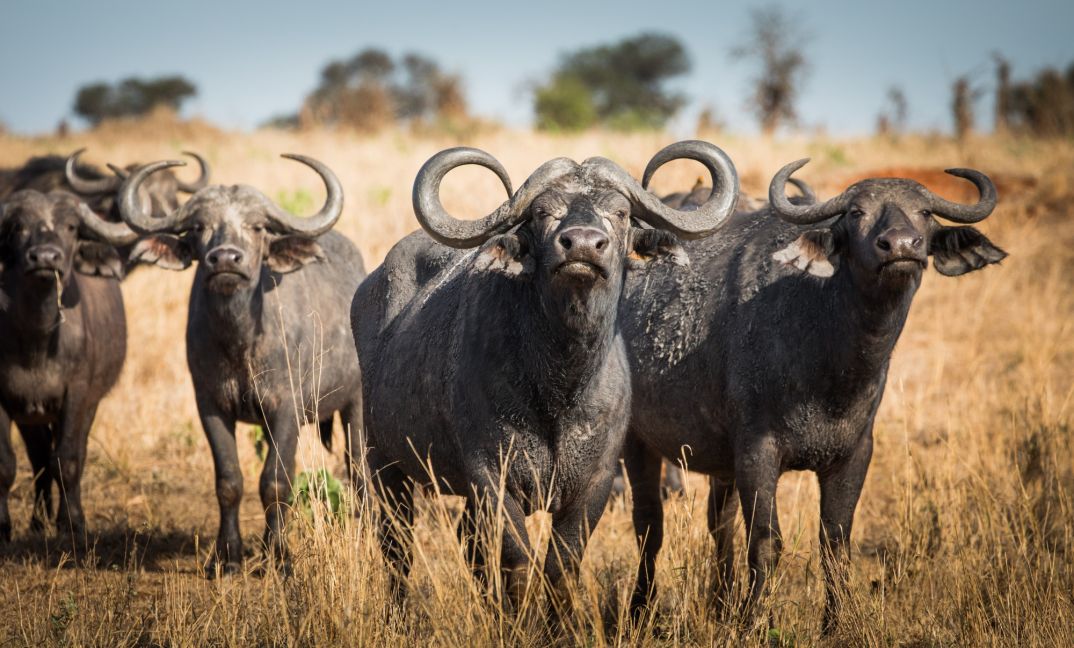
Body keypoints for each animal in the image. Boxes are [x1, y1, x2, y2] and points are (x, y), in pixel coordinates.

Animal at [0, 190, 138, 545]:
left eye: (72, 227)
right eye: (17, 226)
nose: (46, 258)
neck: (37, 342)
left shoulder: (76, 395)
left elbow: (67, 460)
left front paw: (72, 523)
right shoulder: (4, 400)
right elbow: (7, 464)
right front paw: (3, 527)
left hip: (88, 405)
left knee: (70, 453)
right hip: (31, 416)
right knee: (38, 457)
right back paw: (37, 521)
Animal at [119, 154, 365, 576]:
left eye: (257, 226)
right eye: (198, 227)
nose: (225, 259)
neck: (240, 341)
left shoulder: (286, 409)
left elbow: (277, 482)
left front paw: (280, 556)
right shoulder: (210, 406)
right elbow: (229, 481)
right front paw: (227, 557)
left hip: (356, 405)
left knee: (359, 469)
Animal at [352, 139, 738, 610]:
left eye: (621, 212)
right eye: (541, 213)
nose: (583, 246)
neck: (560, 387)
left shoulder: (594, 484)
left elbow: (561, 566)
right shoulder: (491, 478)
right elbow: (517, 563)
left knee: (466, 542)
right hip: (383, 462)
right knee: (397, 545)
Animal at [622, 160, 1005, 631]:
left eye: (925, 213)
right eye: (856, 213)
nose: (900, 246)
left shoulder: (854, 454)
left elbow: (835, 544)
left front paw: (836, 624)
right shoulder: (757, 453)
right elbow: (766, 542)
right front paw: (754, 621)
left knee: (718, 523)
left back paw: (721, 603)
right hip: (637, 443)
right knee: (649, 525)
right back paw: (641, 610)